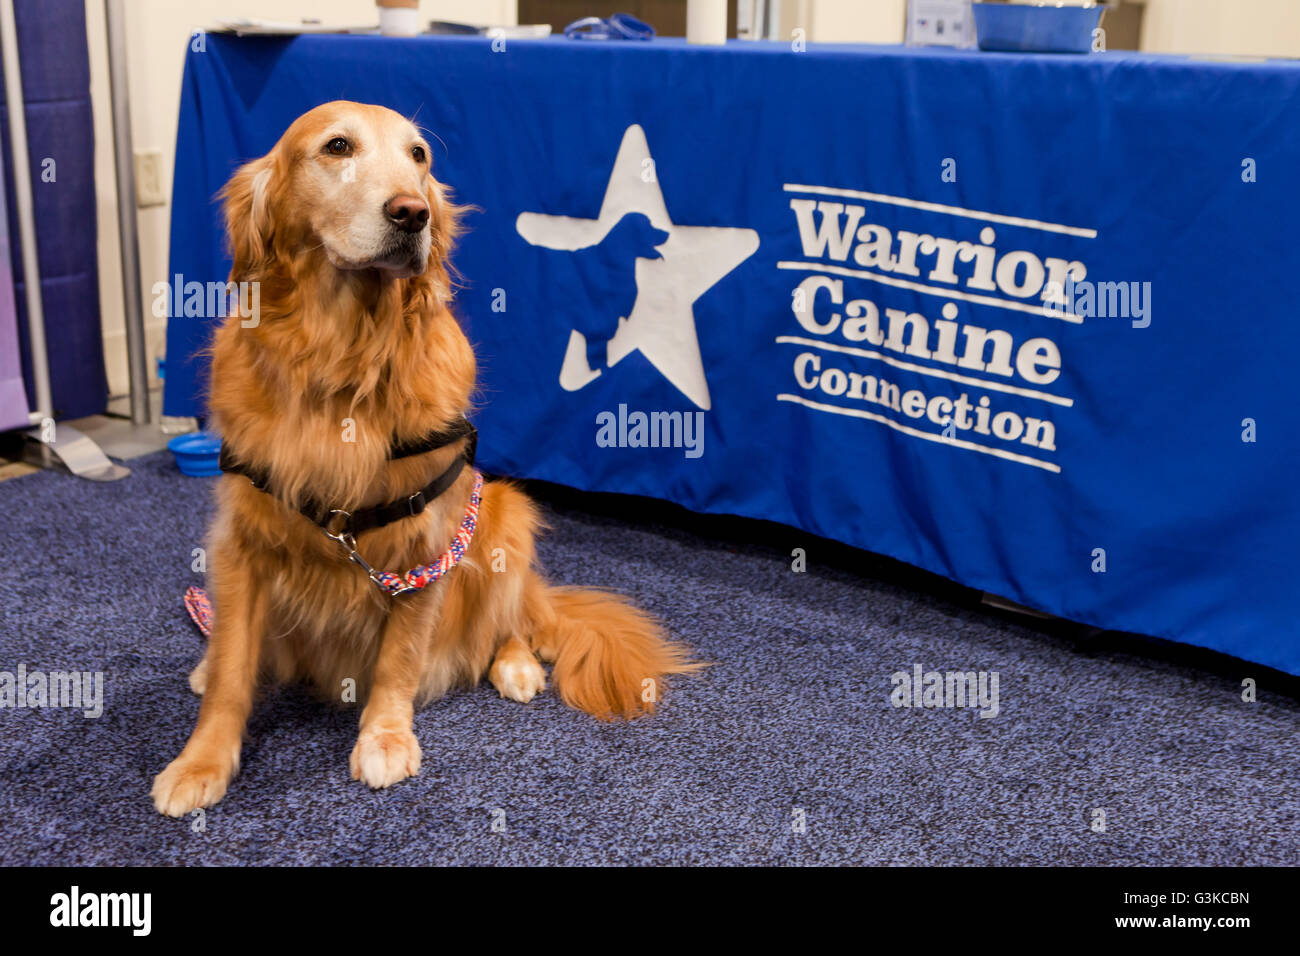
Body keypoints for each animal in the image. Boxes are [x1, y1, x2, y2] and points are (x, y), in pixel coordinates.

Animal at [150, 100, 696, 816]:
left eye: (419, 156)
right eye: (337, 146)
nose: (413, 213)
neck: (341, 357)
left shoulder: (423, 548)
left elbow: (398, 659)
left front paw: (384, 738)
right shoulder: (242, 542)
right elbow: (233, 669)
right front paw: (201, 760)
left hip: (504, 513)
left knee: (512, 618)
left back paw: (517, 664)